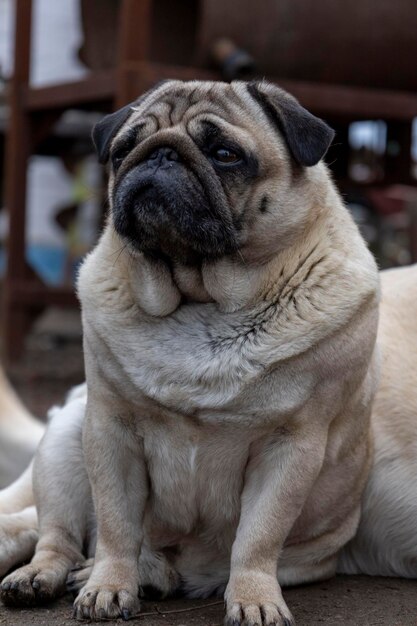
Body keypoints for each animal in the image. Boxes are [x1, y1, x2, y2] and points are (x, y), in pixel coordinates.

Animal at [0, 83, 380, 624]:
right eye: (123, 150)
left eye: (225, 154)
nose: (161, 154)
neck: (201, 298)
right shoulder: (111, 431)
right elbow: (116, 526)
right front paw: (108, 586)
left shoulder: (291, 447)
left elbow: (258, 537)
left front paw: (255, 599)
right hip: (65, 440)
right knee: (60, 536)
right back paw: (46, 575)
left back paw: (150, 574)